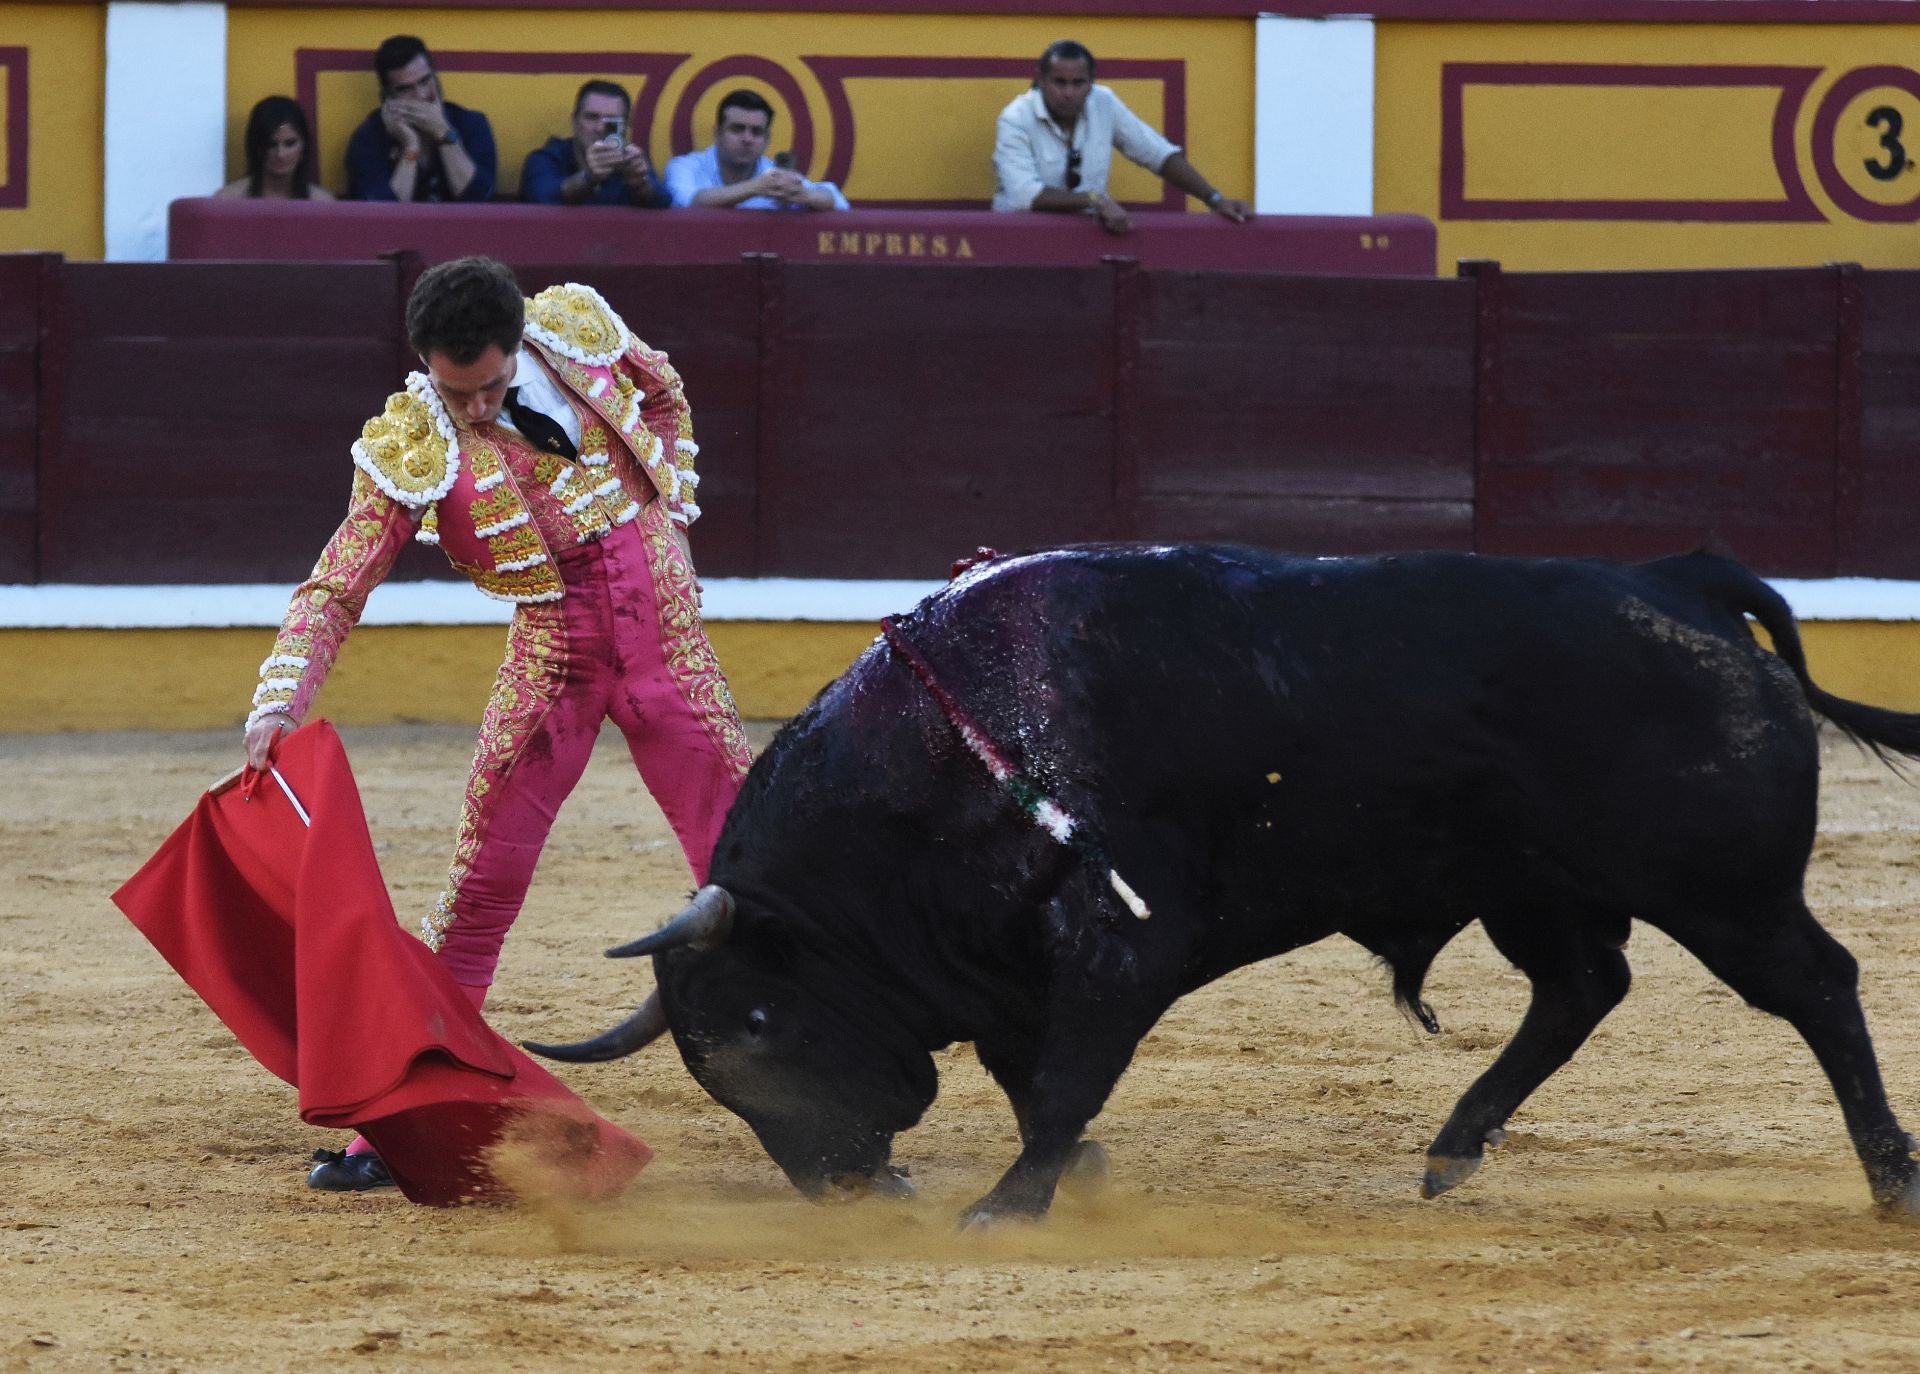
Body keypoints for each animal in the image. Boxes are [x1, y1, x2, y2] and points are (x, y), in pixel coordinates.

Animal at [526, 548, 1920, 1220]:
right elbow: (1034, 1078)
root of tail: (1679, 581)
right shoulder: (1019, 972)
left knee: (1818, 985)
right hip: (1534, 890)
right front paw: (1064, 1180)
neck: (956, 745)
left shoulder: (1116, 949)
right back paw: (1451, 1152)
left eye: (758, 1024)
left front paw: (1010, 1205)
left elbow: (1063, 1082)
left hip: (1725, 892)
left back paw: (1890, 1179)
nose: (840, 1187)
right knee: (1584, 988)